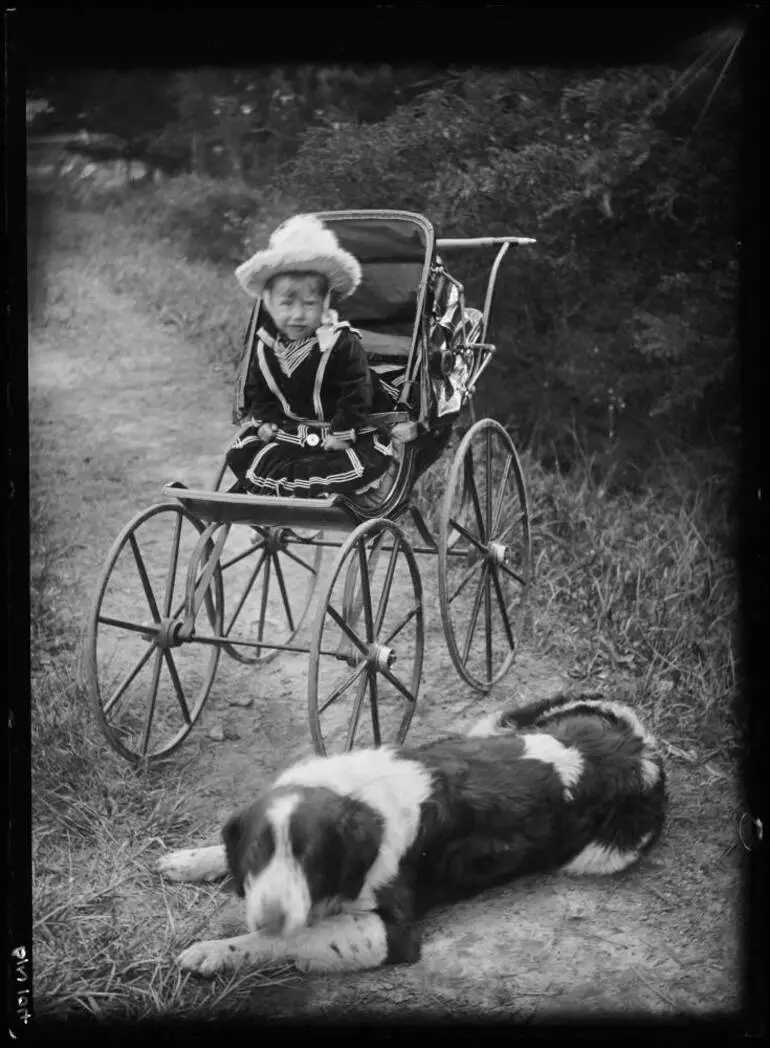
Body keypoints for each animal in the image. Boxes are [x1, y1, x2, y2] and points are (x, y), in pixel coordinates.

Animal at [158, 691, 670, 976]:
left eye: (312, 857)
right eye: (257, 854)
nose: (268, 915)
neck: (357, 800)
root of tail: (637, 744)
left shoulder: (391, 932)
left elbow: (288, 938)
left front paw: (212, 952)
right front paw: (190, 860)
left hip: (602, 855)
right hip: (499, 721)